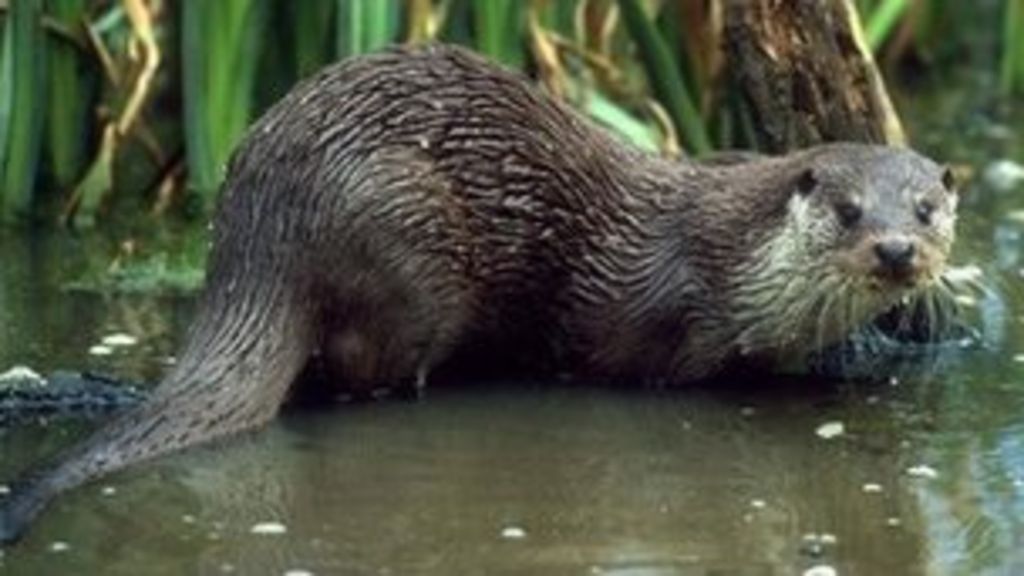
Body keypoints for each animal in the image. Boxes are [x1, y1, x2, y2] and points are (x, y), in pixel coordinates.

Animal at [2, 42, 958, 541]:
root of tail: (258, 227)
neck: (741, 261)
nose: (897, 250)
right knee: (358, 368)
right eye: (847, 210)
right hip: (402, 232)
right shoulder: (676, 321)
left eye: (926, 206)